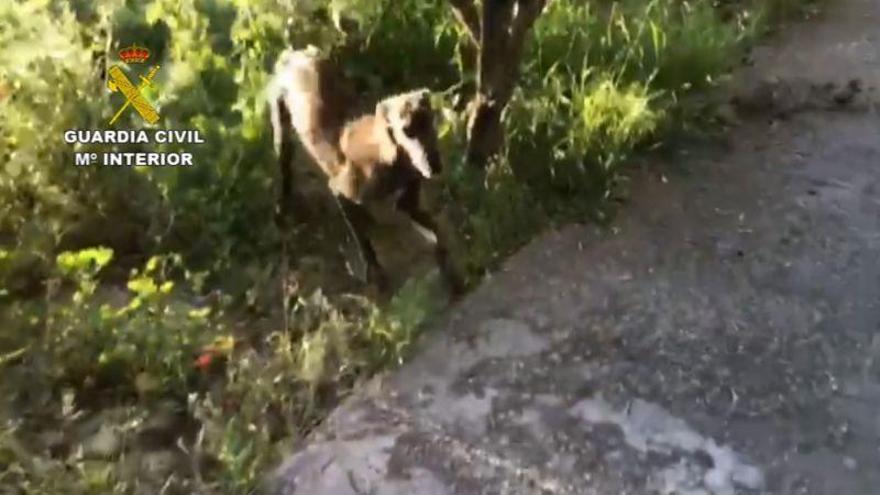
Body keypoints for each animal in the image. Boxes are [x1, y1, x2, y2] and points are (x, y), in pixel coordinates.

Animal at [266, 46, 460, 294]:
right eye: (407, 131)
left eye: (429, 120)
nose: (434, 165)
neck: (391, 156)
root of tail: (293, 54)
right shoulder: (341, 190)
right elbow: (363, 240)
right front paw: (375, 273)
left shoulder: (408, 199)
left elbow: (435, 231)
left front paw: (451, 273)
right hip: (281, 127)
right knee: (284, 163)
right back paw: (282, 210)